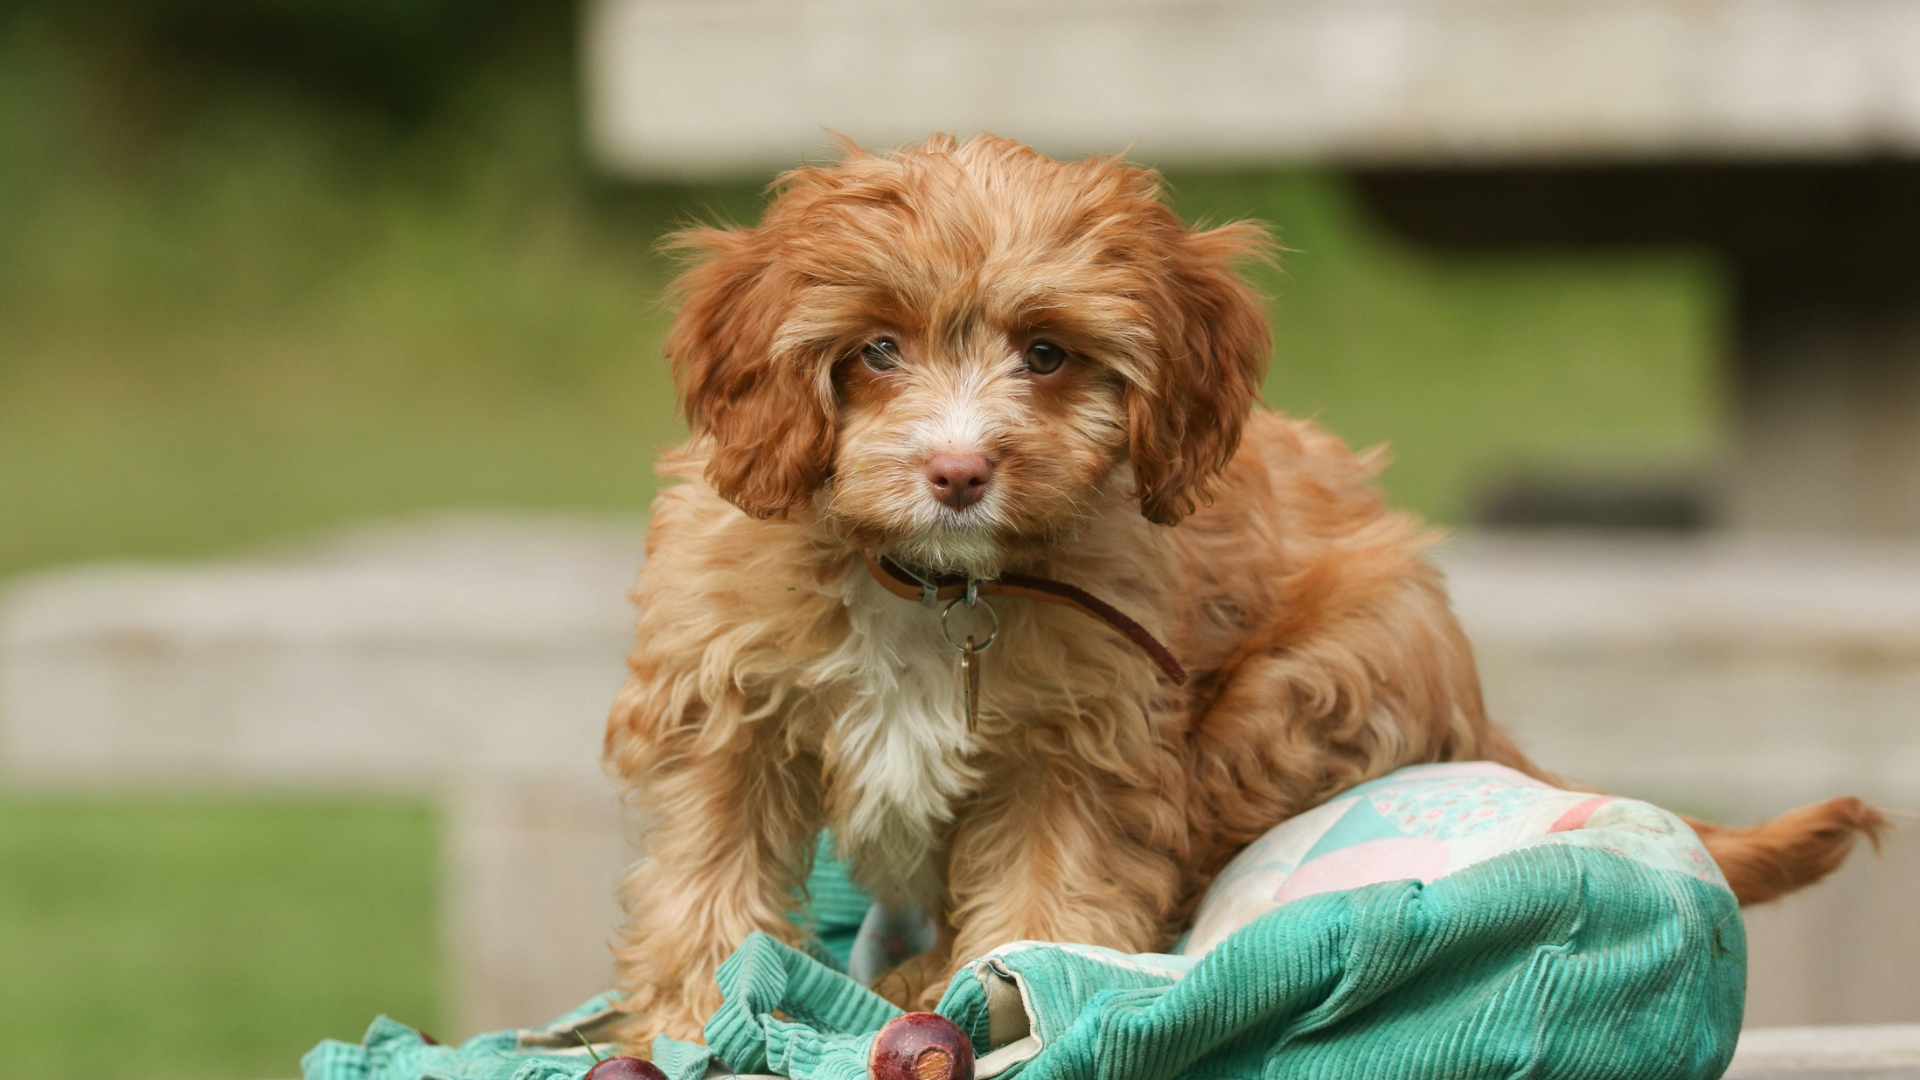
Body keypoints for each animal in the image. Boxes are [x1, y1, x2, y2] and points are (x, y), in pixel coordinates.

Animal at [606, 134, 1881, 1045]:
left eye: (1047, 354)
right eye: (875, 351)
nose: (959, 471)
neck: (932, 583)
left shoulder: (1086, 748)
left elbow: (1051, 907)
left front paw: (992, 992)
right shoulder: (725, 705)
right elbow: (706, 878)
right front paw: (690, 1018)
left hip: (1297, 693)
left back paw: (920, 971)